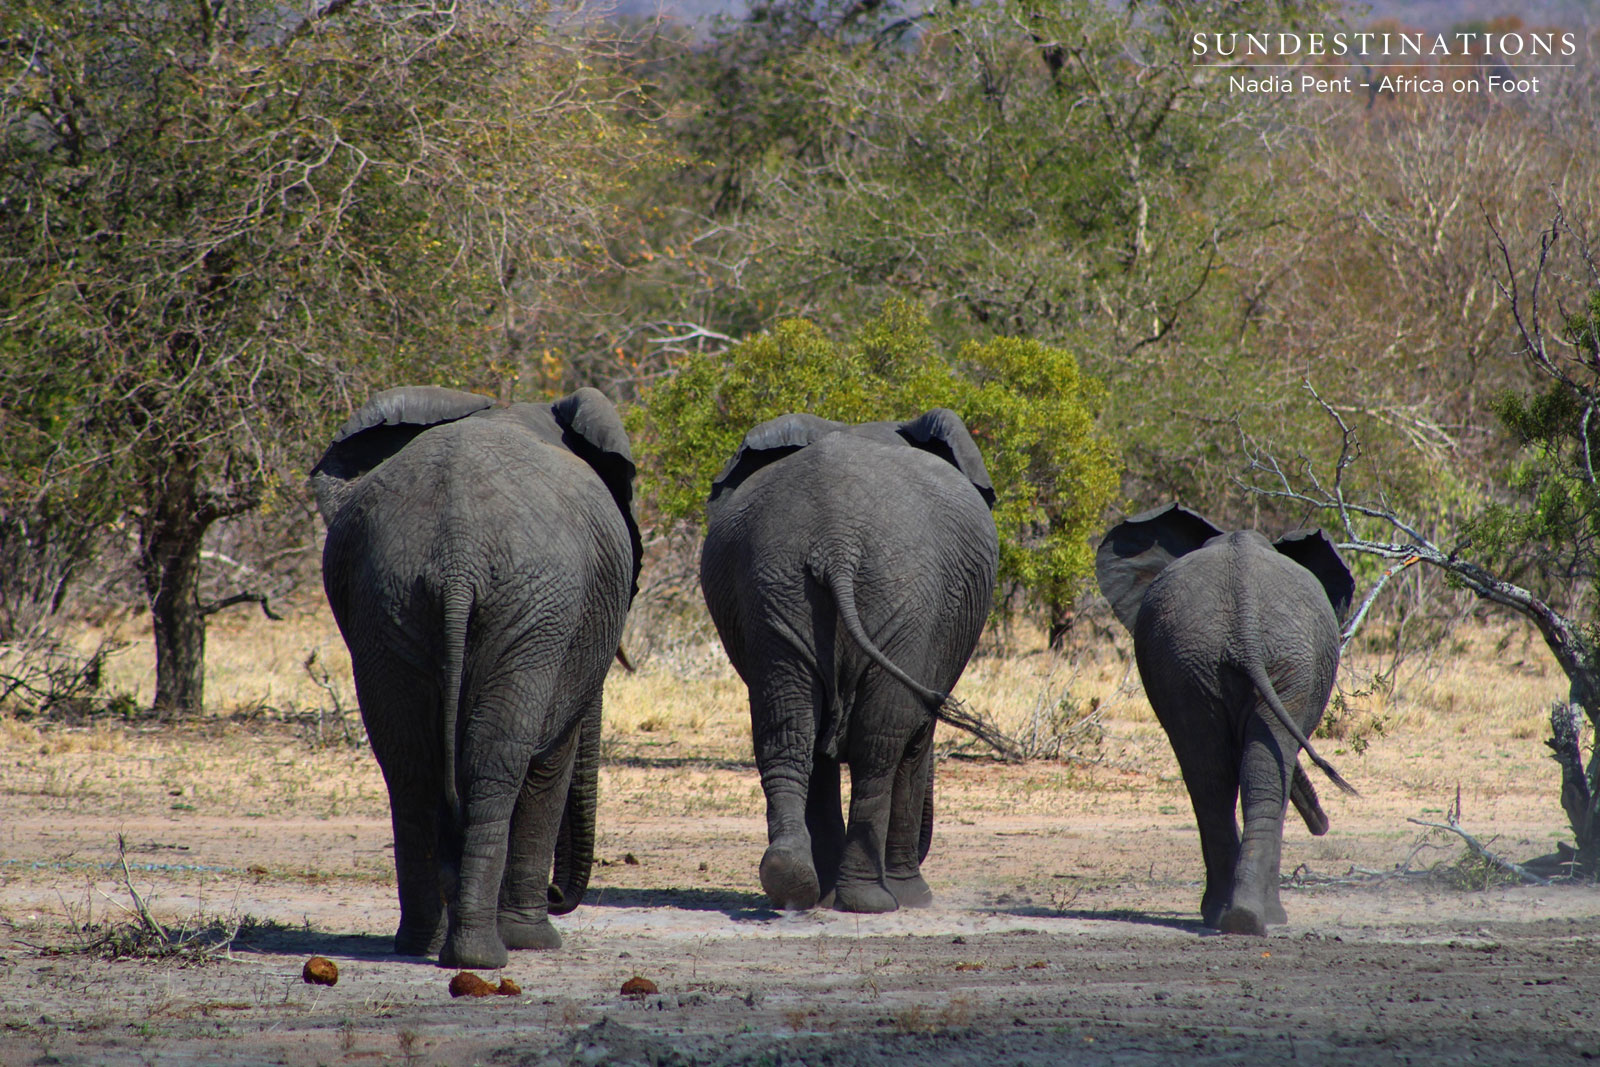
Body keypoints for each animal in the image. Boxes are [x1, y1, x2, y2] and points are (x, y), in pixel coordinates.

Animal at [312, 385, 641, 969]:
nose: (559, 895)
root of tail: (457, 557)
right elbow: (552, 762)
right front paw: (536, 941)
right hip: (534, 609)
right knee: (497, 762)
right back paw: (484, 956)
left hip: (389, 603)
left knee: (410, 765)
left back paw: (420, 945)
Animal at [700, 410, 999, 913]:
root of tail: (836, 542)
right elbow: (913, 742)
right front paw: (909, 897)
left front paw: (824, 893)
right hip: (907, 600)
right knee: (879, 744)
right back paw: (872, 899)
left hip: (773, 588)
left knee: (787, 733)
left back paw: (792, 881)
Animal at [1094, 503, 1358, 935]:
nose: (1323, 825)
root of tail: (1243, 626)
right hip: (1251, 659)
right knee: (1251, 776)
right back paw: (1255, 916)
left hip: (1195, 660)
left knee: (1212, 777)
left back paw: (1234, 916)